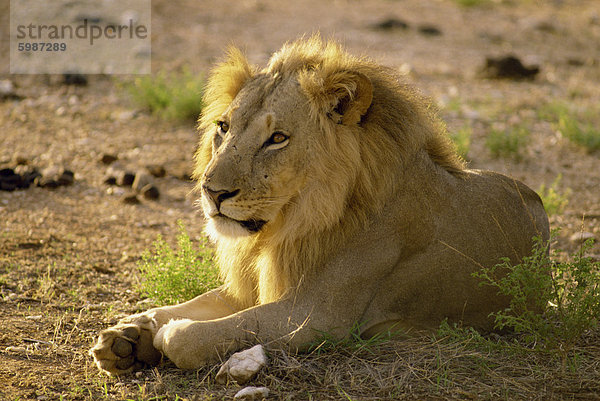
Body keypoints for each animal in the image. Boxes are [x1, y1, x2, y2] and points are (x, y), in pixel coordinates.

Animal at [90, 35, 548, 376]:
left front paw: (159, 337)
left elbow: (192, 335)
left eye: (277, 139)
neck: (286, 225)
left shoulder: (317, 316)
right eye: (223, 127)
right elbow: (185, 305)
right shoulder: (254, 286)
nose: (212, 192)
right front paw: (127, 336)